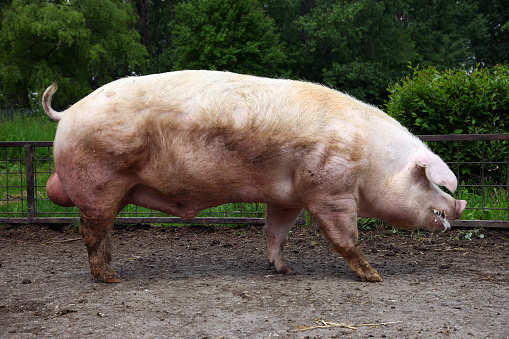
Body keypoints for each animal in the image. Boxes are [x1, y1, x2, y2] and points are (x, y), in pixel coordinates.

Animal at [42, 71, 464, 284]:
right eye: (429, 180)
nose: (459, 204)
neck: (372, 162)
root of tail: (68, 112)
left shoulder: (288, 196)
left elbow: (276, 232)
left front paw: (284, 270)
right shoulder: (329, 192)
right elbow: (346, 237)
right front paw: (375, 277)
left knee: (104, 232)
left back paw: (114, 269)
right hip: (99, 183)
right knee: (89, 230)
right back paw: (111, 278)